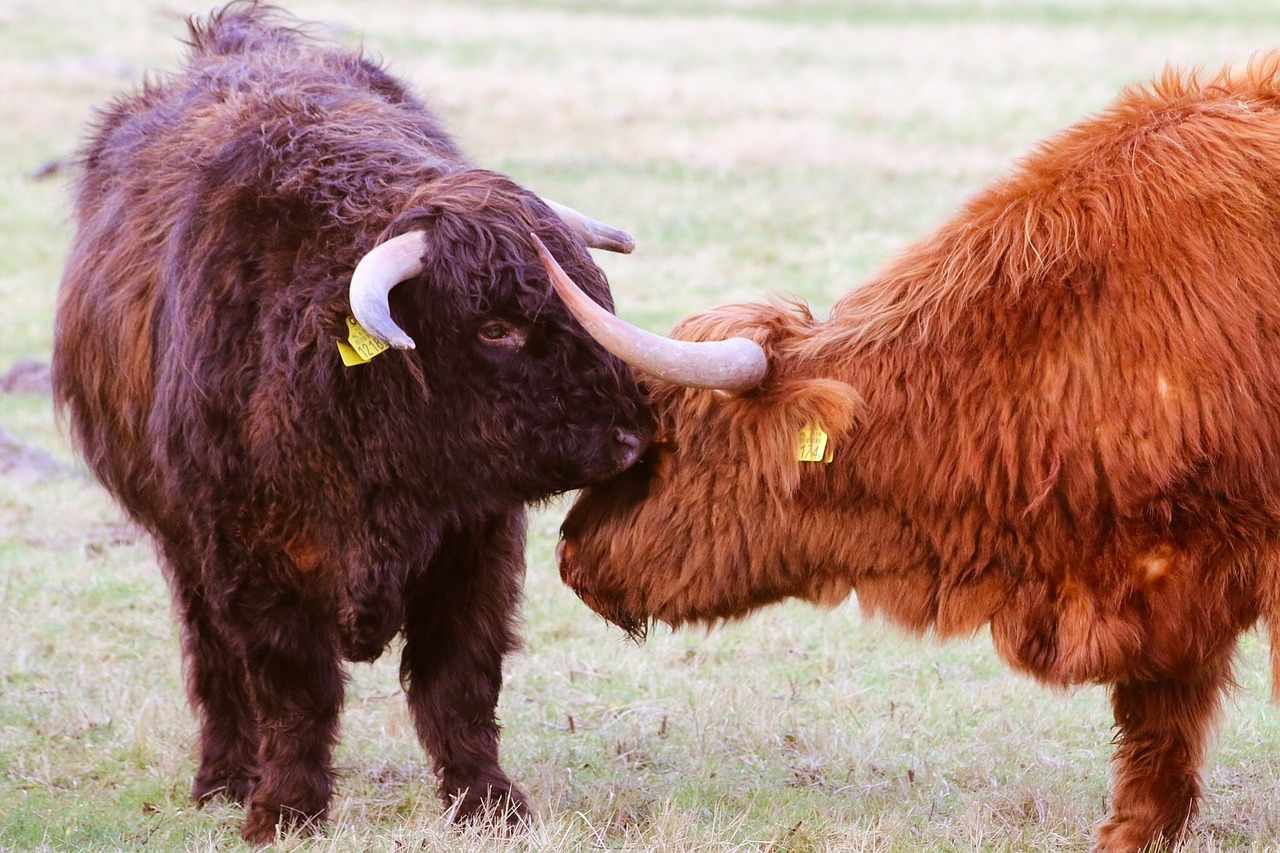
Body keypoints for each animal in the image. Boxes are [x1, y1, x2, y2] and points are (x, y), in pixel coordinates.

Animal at [49, 0, 650, 835]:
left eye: (591, 295)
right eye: (496, 327)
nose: (631, 436)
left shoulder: (476, 544)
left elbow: (460, 681)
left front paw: (490, 802)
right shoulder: (246, 551)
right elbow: (293, 686)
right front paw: (284, 809)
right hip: (179, 541)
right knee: (211, 655)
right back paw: (222, 777)